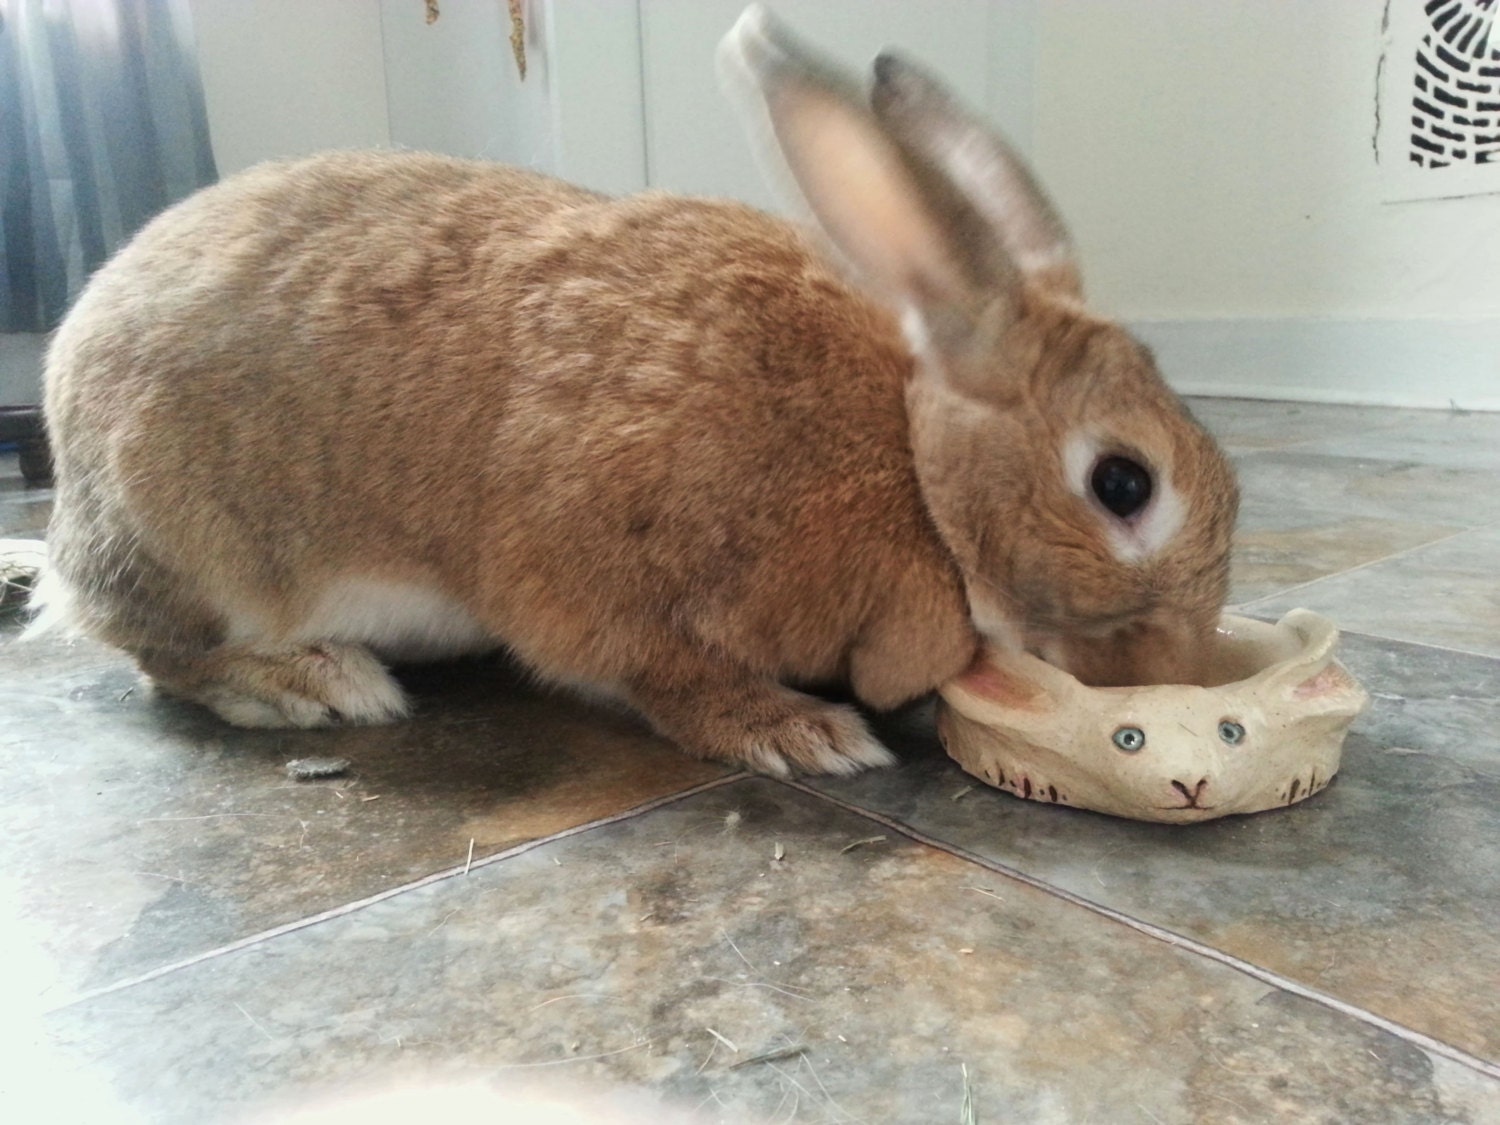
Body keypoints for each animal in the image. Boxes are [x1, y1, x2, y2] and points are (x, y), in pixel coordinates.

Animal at [32, 6, 1242, 786]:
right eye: (1123, 484)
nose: (1175, 681)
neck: (908, 463)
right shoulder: (594, 573)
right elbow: (658, 671)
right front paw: (796, 732)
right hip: (189, 543)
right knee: (152, 650)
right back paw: (308, 682)